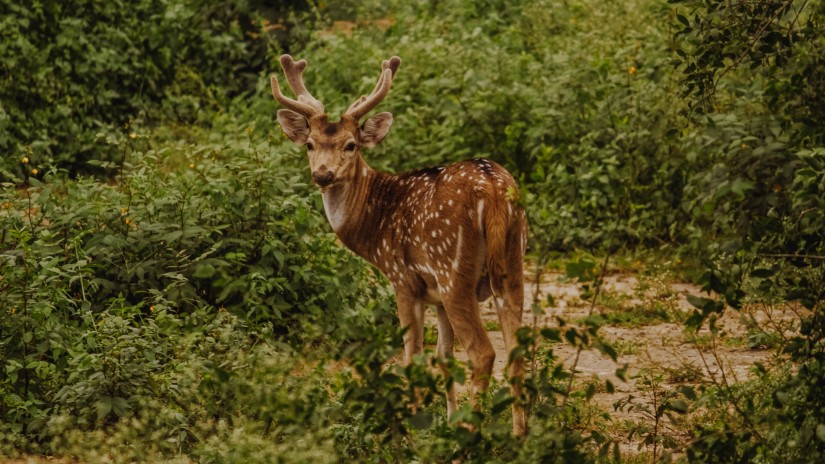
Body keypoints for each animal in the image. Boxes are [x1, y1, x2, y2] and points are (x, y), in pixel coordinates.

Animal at [270, 53, 528, 436]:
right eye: (309, 144)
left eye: (351, 144)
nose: (323, 174)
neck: (375, 225)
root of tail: (494, 191)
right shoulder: (435, 296)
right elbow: (443, 356)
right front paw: (446, 420)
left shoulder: (404, 280)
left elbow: (413, 356)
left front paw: (414, 425)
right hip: (512, 266)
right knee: (517, 350)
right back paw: (519, 435)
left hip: (453, 269)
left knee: (483, 353)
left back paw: (472, 435)